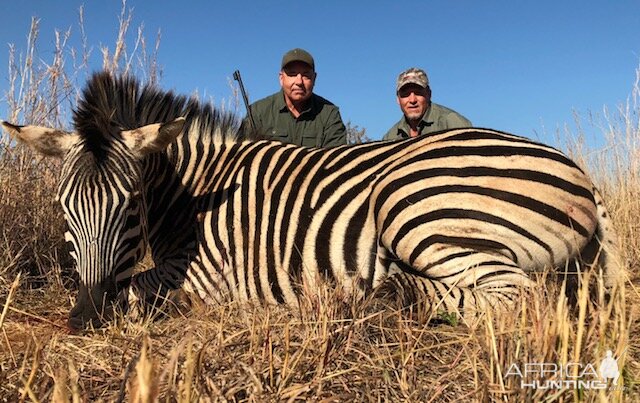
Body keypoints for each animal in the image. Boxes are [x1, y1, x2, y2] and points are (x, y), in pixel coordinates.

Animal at [0, 73, 620, 332]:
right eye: (61, 207)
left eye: (131, 208)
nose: (84, 318)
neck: (194, 192)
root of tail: (580, 172)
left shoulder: (207, 273)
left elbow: (137, 290)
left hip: (413, 208)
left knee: (518, 298)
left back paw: (377, 297)